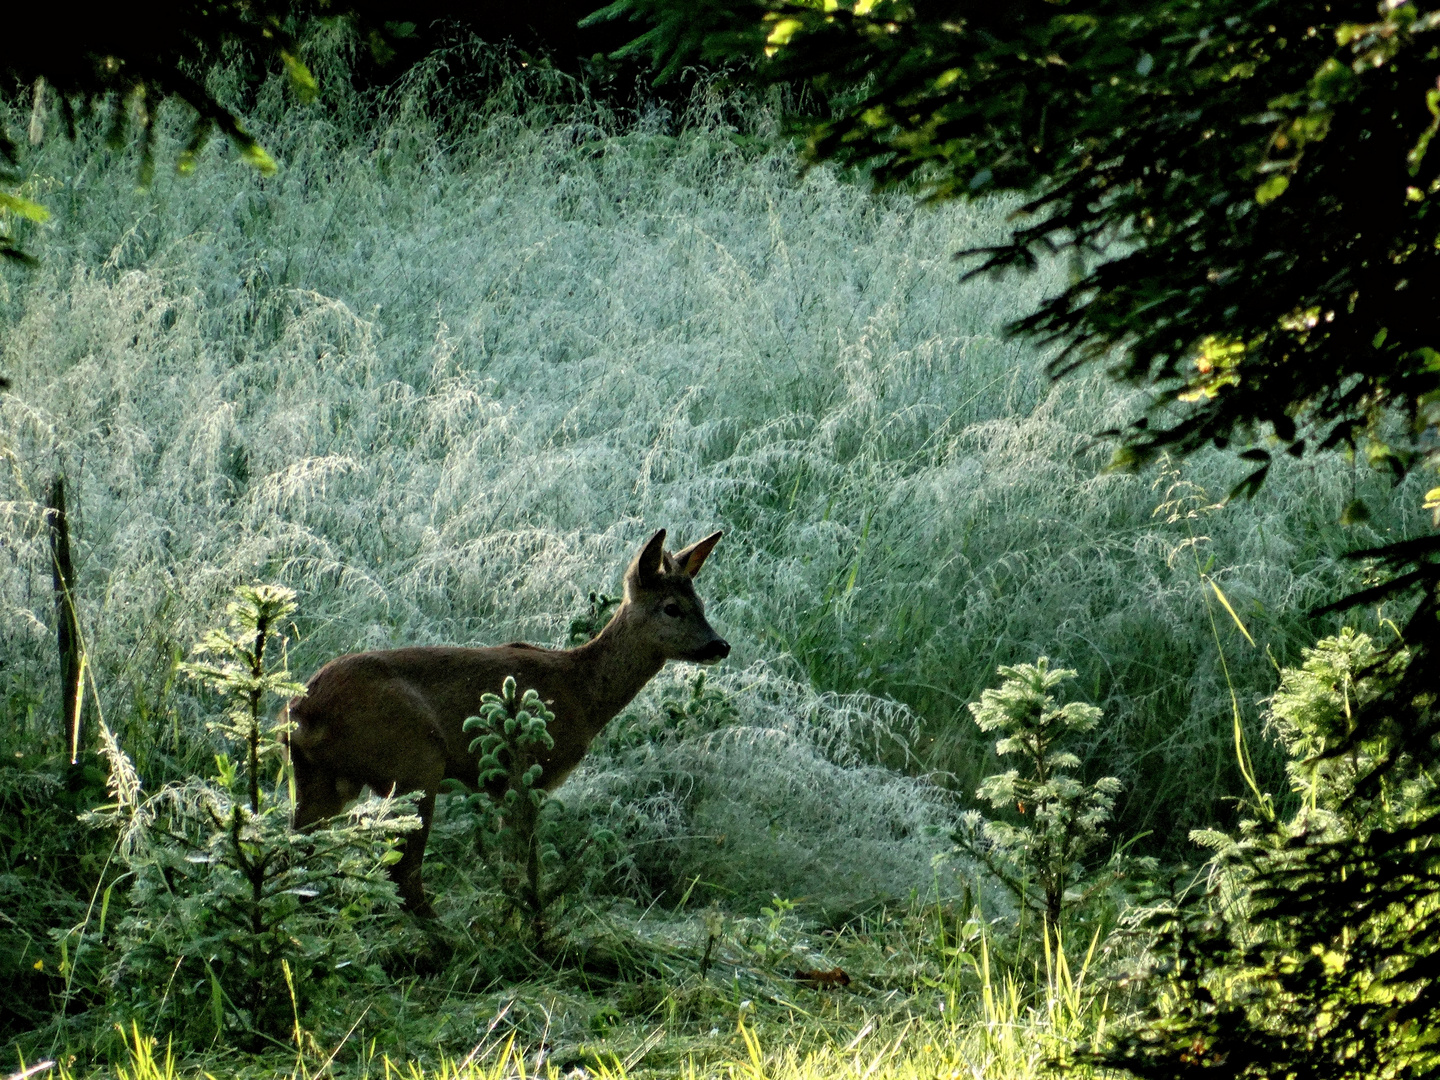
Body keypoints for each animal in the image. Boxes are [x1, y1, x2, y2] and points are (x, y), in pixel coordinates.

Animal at [285, 529, 725, 915]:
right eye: (672, 607)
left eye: (701, 604)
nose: (720, 645)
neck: (581, 693)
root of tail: (303, 710)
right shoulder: (528, 771)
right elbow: (522, 863)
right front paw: (526, 919)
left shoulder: (499, 787)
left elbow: (509, 866)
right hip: (414, 761)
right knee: (403, 873)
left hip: (321, 778)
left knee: (297, 854)